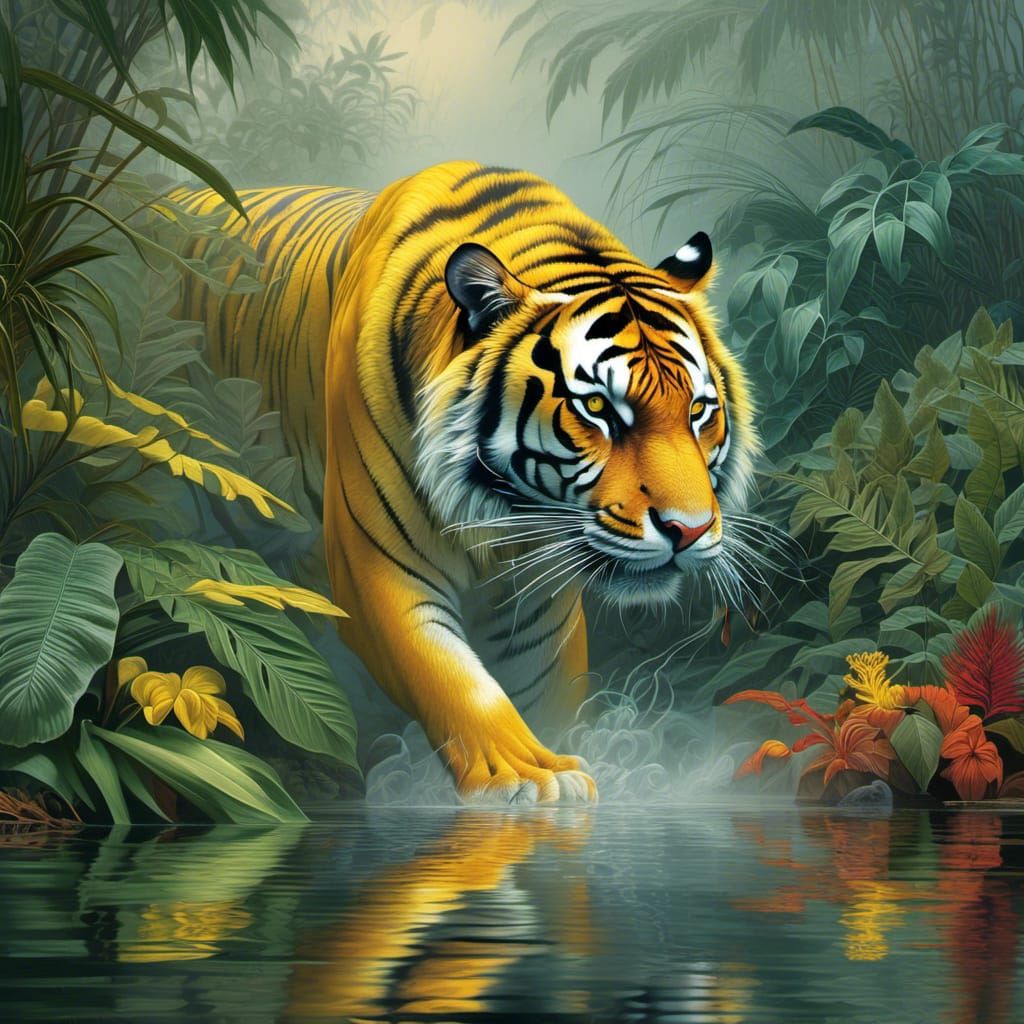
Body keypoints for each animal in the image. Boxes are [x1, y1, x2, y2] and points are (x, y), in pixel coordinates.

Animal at [175, 161, 757, 804]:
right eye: (599, 408)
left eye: (699, 411)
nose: (690, 530)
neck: (508, 516)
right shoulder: (376, 566)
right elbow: (453, 679)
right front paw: (530, 777)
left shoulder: (539, 604)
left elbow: (544, 689)